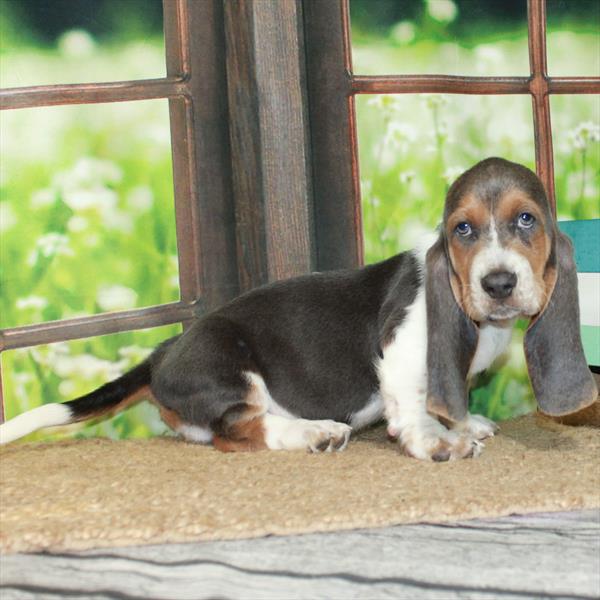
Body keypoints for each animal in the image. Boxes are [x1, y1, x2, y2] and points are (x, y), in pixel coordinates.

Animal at [2, 158, 596, 460]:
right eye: (462, 229)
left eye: (526, 220)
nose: (498, 283)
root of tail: (161, 356)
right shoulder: (403, 352)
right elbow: (414, 401)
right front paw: (435, 440)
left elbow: (451, 396)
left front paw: (465, 422)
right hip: (231, 365)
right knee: (239, 430)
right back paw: (313, 433)